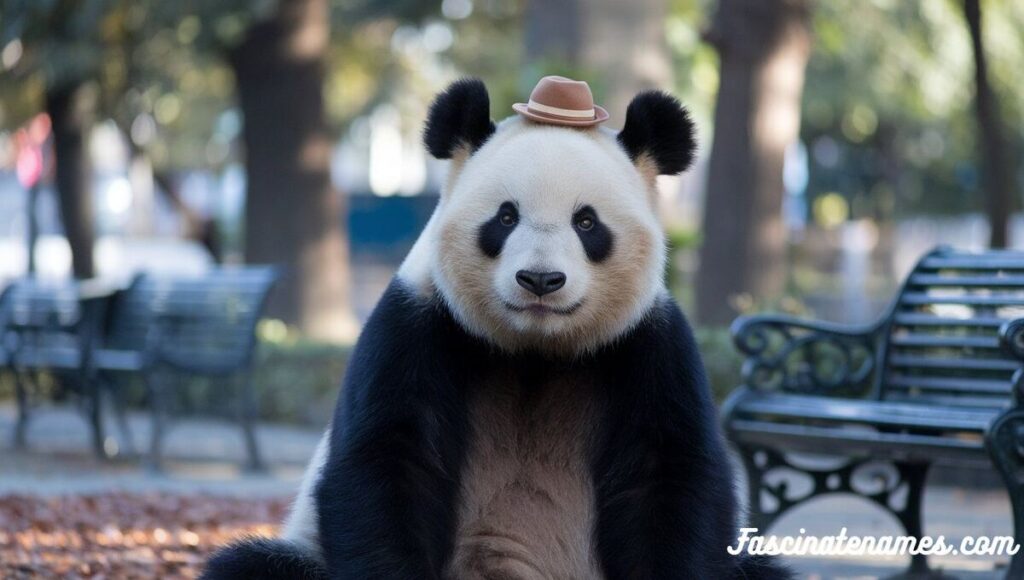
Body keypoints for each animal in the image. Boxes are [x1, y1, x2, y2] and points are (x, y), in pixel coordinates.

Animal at [201, 78, 790, 580]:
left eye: (587, 222)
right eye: (505, 217)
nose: (541, 280)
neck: (534, 349)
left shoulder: (649, 344)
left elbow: (669, 477)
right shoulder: (415, 325)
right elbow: (388, 463)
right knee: (254, 565)